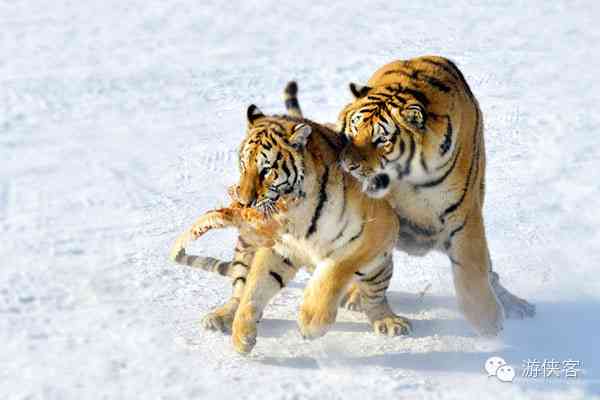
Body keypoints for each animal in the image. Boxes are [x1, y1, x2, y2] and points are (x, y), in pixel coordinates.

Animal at [336, 53, 536, 334]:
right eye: (352, 132)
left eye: (381, 140)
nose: (348, 165)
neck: (407, 181)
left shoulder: (463, 214)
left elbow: (472, 267)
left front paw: (487, 320)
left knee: (490, 271)